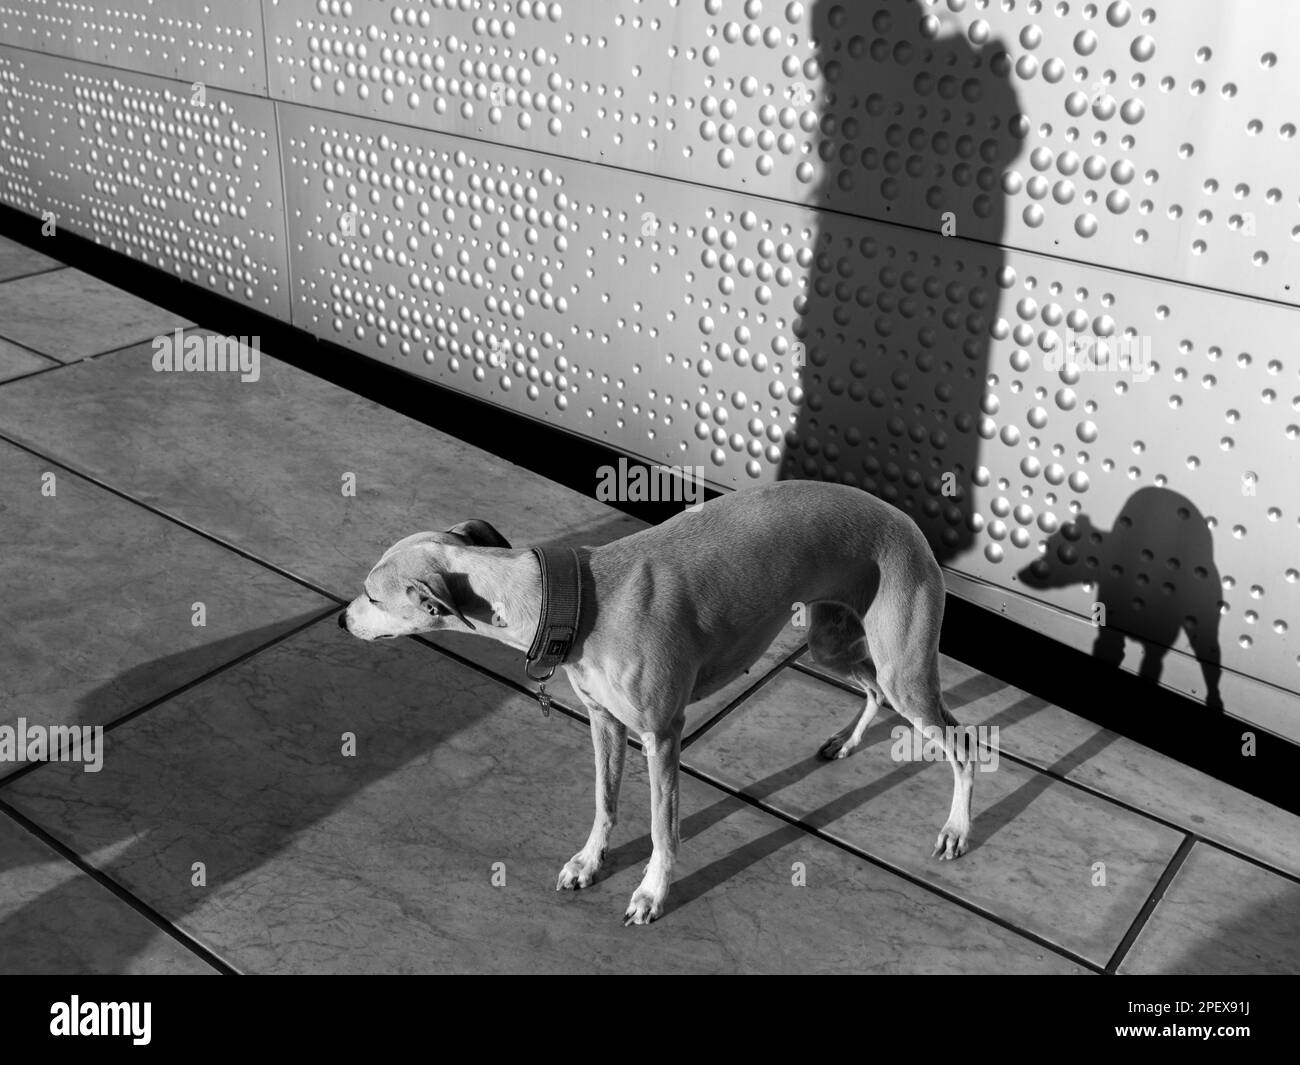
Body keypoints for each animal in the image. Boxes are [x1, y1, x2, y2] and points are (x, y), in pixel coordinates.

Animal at [340, 481, 972, 925]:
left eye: (372, 594)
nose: (343, 620)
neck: (576, 599)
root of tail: (908, 523)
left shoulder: (663, 735)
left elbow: (662, 829)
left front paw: (650, 892)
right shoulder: (603, 721)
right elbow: (605, 801)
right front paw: (589, 861)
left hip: (904, 668)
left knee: (960, 740)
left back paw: (956, 829)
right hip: (833, 643)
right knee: (871, 688)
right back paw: (845, 741)